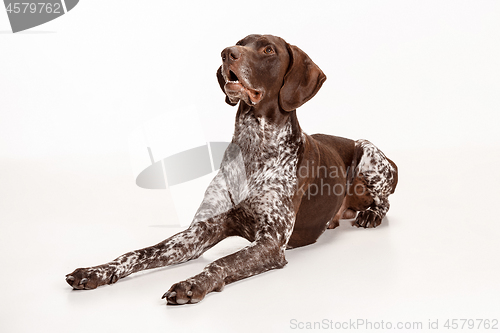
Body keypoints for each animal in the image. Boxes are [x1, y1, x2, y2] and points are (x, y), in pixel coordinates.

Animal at [65, 33, 398, 304]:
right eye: (239, 41)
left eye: (268, 49)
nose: (226, 52)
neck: (254, 148)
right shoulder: (198, 233)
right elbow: (139, 252)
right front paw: (96, 271)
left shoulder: (271, 242)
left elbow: (221, 262)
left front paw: (192, 284)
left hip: (368, 150)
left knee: (384, 201)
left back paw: (370, 215)